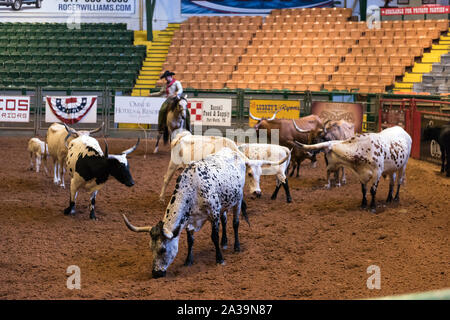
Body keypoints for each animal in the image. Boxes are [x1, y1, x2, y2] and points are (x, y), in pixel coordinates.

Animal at [123, 148, 250, 278]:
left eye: (163, 249)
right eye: (150, 248)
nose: (156, 273)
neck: (194, 188)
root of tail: (234, 152)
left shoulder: (214, 214)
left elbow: (214, 236)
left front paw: (219, 259)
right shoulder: (190, 220)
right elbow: (190, 240)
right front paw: (188, 260)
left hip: (238, 200)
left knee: (235, 223)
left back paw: (237, 247)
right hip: (224, 204)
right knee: (224, 220)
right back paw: (224, 242)